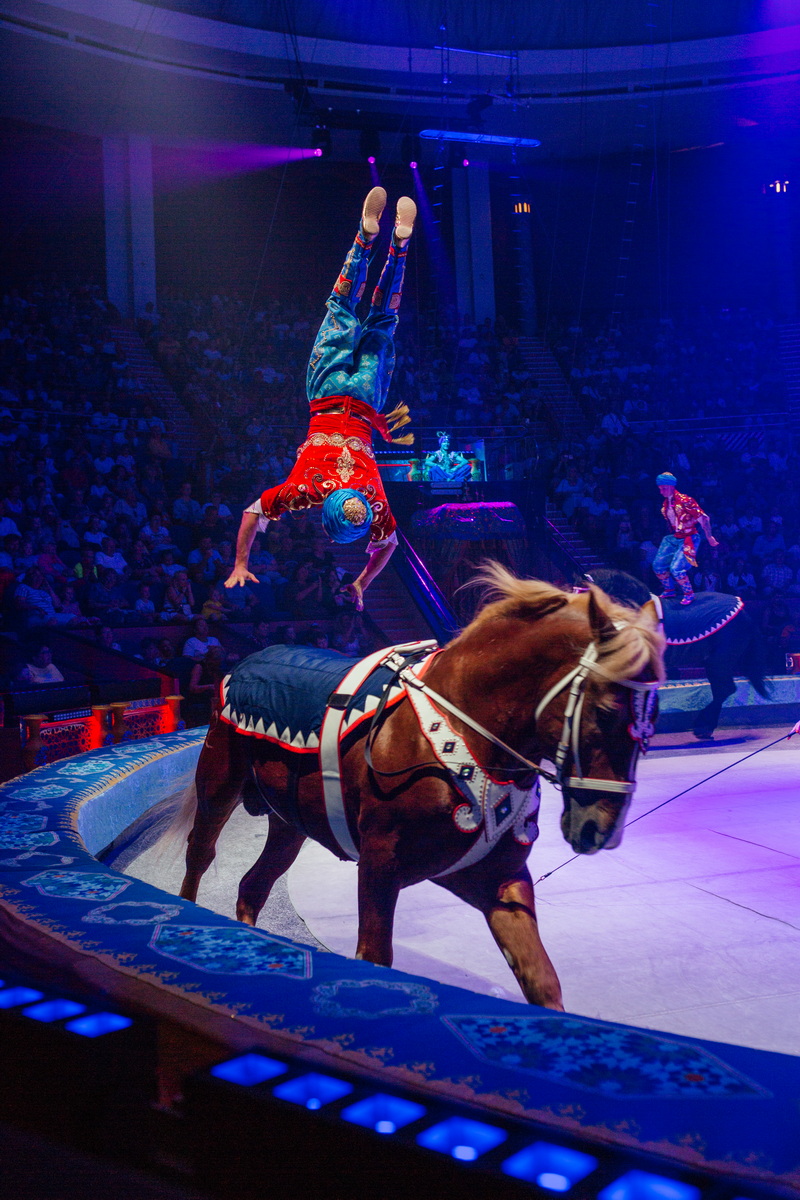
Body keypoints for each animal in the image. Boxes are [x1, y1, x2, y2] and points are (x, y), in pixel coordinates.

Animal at [175, 571, 662, 1012]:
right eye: (605, 711)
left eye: (652, 721)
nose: (602, 829)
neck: (464, 729)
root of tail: (246, 662)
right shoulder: (379, 866)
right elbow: (373, 957)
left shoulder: (497, 878)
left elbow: (541, 980)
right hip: (219, 786)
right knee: (200, 855)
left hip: (288, 824)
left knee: (253, 886)